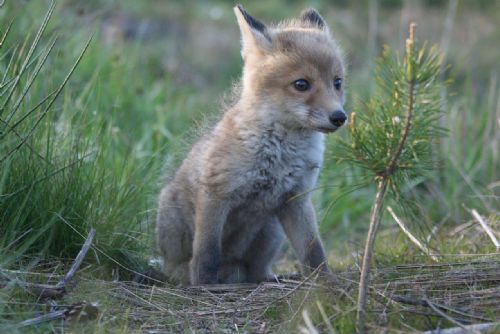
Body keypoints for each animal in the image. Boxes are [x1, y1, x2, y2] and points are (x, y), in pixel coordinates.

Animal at [158, 5, 346, 286]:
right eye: (301, 84)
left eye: (337, 82)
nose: (339, 117)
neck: (280, 153)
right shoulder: (216, 193)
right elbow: (207, 252)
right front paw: (204, 285)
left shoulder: (297, 198)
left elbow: (314, 251)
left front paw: (325, 284)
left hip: (272, 230)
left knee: (257, 270)